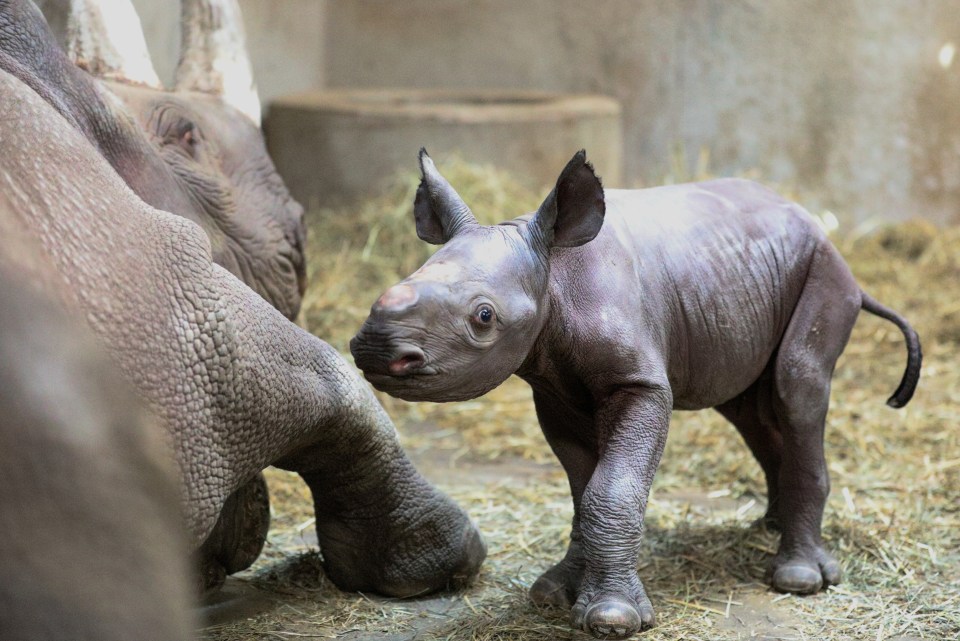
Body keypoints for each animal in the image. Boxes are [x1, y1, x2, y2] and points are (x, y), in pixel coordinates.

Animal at [348, 149, 920, 636]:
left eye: (483, 317)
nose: (374, 348)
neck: (553, 273)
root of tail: (816, 226)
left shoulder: (640, 384)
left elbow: (612, 487)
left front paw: (612, 620)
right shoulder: (553, 393)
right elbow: (583, 489)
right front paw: (556, 594)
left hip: (824, 271)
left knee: (797, 386)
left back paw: (799, 579)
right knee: (748, 406)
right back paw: (771, 525)